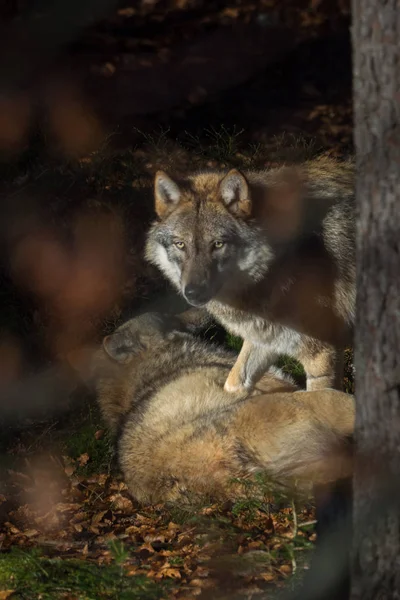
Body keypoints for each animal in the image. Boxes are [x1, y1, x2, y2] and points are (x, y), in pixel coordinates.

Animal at [145, 156, 356, 394]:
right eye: (180, 244)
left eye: (218, 244)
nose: (193, 292)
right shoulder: (265, 337)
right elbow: (234, 382)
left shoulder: (322, 356)